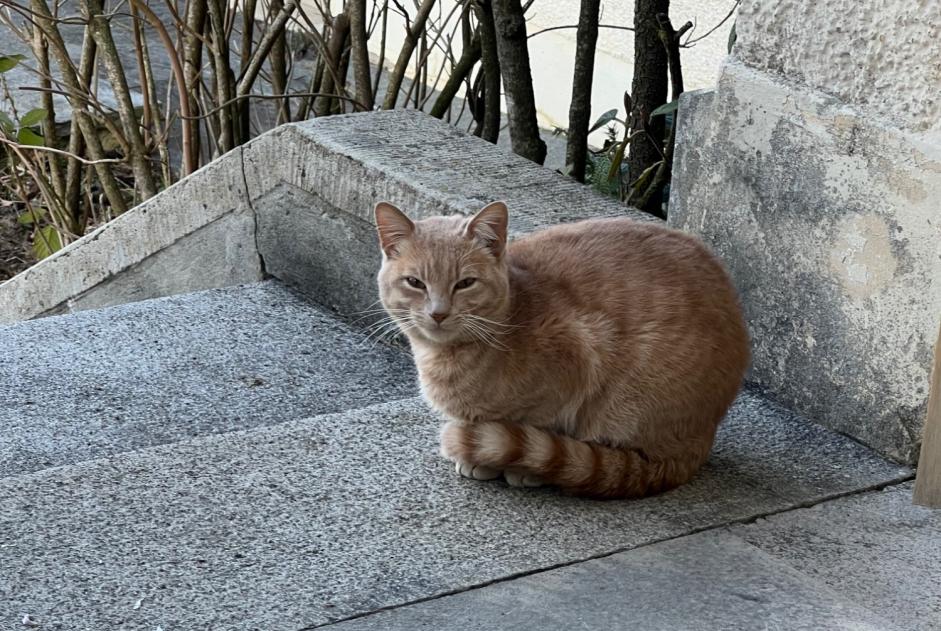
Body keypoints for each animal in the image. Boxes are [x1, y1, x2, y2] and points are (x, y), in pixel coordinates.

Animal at [374, 202, 748, 498]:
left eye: (465, 283)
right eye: (415, 283)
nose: (438, 313)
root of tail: (701, 441)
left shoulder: (579, 355)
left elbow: (540, 424)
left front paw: (513, 467)